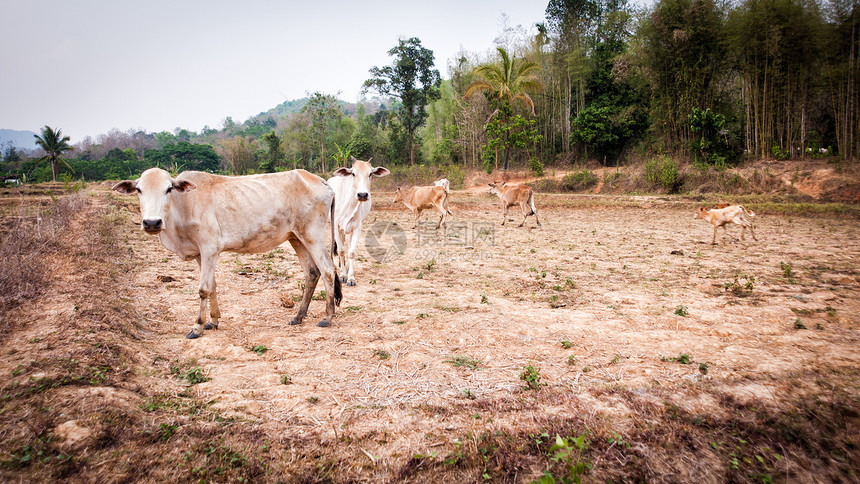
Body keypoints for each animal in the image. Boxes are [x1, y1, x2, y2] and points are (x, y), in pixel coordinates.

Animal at [112, 165, 340, 336]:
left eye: (168, 189)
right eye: (139, 190)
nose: (152, 223)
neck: (183, 206)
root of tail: (323, 182)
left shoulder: (209, 249)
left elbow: (203, 289)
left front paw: (197, 326)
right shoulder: (200, 254)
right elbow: (212, 286)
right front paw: (213, 321)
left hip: (312, 235)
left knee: (328, 270)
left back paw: (327, 317)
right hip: (296, 238)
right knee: (312, 273)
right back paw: (298, 316)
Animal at [326, 157, 390, 288]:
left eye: (370, 174)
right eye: (353, 174)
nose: (362, 195)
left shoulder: (356, 228)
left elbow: (351, 252)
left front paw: (350, 277)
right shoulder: (336, 227)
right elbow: (341, 250)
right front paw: (342, 275)